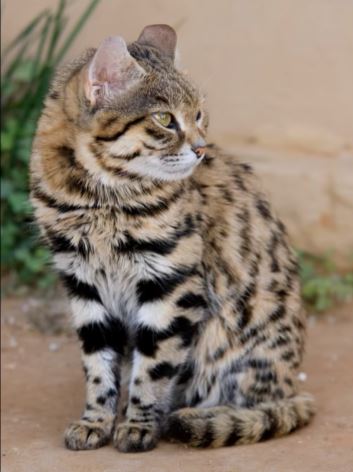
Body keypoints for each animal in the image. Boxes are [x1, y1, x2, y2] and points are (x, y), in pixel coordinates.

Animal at [29, 24, 314, 452]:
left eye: (199, 115)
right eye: (164, 119)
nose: (200, 149)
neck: (97, 197)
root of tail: (289, 383)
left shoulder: (172, 283)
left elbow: (154, 365)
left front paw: (138, 425)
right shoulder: (82, 281)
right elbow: (98, 365)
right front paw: (95, 421)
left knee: (255, 404)